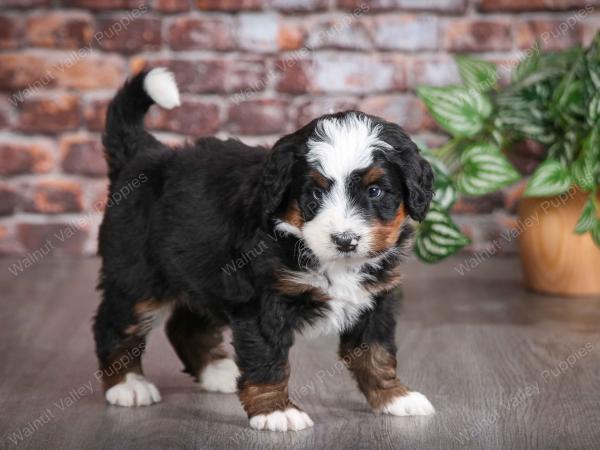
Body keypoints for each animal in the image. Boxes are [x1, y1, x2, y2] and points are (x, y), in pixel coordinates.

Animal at [91, 67, 434, 432]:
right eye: (315, 194)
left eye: (375, 191)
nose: (345, 240)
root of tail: (142, 154)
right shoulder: (262, 303)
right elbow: (268, 358)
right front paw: (276, 411)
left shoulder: (375, 300)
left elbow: (377, 352)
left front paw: (395, 397)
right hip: (137, 278)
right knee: (113, 324)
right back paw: (128, 386)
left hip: (204, 274)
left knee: (186, 326)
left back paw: (218, 372)